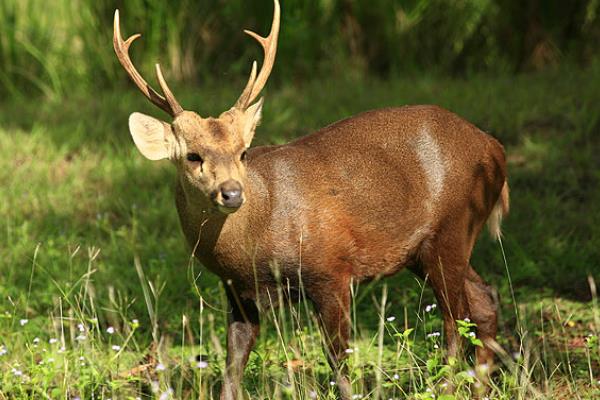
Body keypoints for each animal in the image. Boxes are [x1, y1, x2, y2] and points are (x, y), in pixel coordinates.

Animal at [113, 1, 510, 398]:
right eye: (193, 156)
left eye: (243, 152)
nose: (232, 192)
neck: (255, 242)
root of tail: (494, 148)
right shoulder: (237, 292)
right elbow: (232, 367)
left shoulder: (332, 270)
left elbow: (339, 359)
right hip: (432, 246)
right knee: (484, 300)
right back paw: (479, 385)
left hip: (452, 227)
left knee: (456, 318)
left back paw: (444, 385)